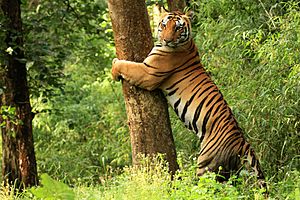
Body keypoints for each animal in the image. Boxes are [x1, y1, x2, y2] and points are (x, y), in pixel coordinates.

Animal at [111, 10, 266, 191]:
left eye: (178, 28)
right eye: (164, 25)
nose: (167, 40)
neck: (186, 43)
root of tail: (242, 142)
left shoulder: (147, 73)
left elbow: (126, 65)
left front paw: (114, 67)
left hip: (206, 165)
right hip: (230, 172)